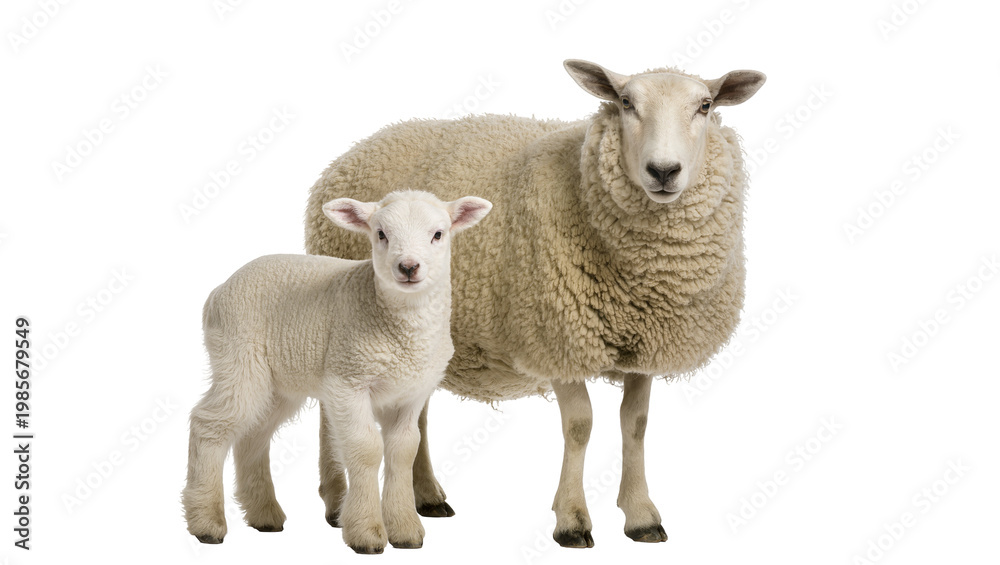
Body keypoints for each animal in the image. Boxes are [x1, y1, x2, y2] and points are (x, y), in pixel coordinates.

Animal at [182, 190, 492, 553]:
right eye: (381, 234)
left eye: (438, 234)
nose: (408, 267)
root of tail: (219, 291)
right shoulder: (348, 382)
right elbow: (366, 448)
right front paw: (366, 532)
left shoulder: (411, 393)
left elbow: (404, 450)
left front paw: (405, 530)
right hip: (238, 360)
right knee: (209, 425)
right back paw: (207, 522)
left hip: (278, 383)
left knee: (253, 434)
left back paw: (264, 515)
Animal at [304, 59, 765, 547]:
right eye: (625, 103)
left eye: (705, 105)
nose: (663, 171)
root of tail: (353, 151)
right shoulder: (554, 335)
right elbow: (580, 426)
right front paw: (572, 520)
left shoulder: (645, 345)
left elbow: (635, 424)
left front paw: (641, 515)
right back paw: (336, 502)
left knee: (418, 416)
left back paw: (426, 495)